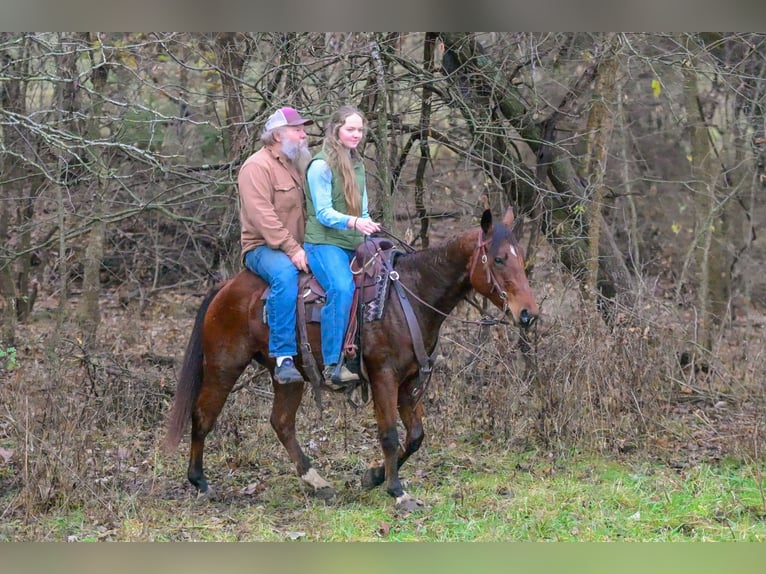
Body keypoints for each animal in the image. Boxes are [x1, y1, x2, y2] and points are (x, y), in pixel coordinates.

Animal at [163, 208, 538, 510]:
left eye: (520, 258)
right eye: (499, 259)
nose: (528, 314)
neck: (409, 296)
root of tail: (225, 288)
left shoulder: (410, 381)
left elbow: (415, 436)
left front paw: (373, 476)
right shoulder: (384, 376)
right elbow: (389, 434)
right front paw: (397, 491)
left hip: (289, 375)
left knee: (281, 422)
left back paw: (316, 481)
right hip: (223, 366)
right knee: (203, 416)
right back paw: (200, 482)